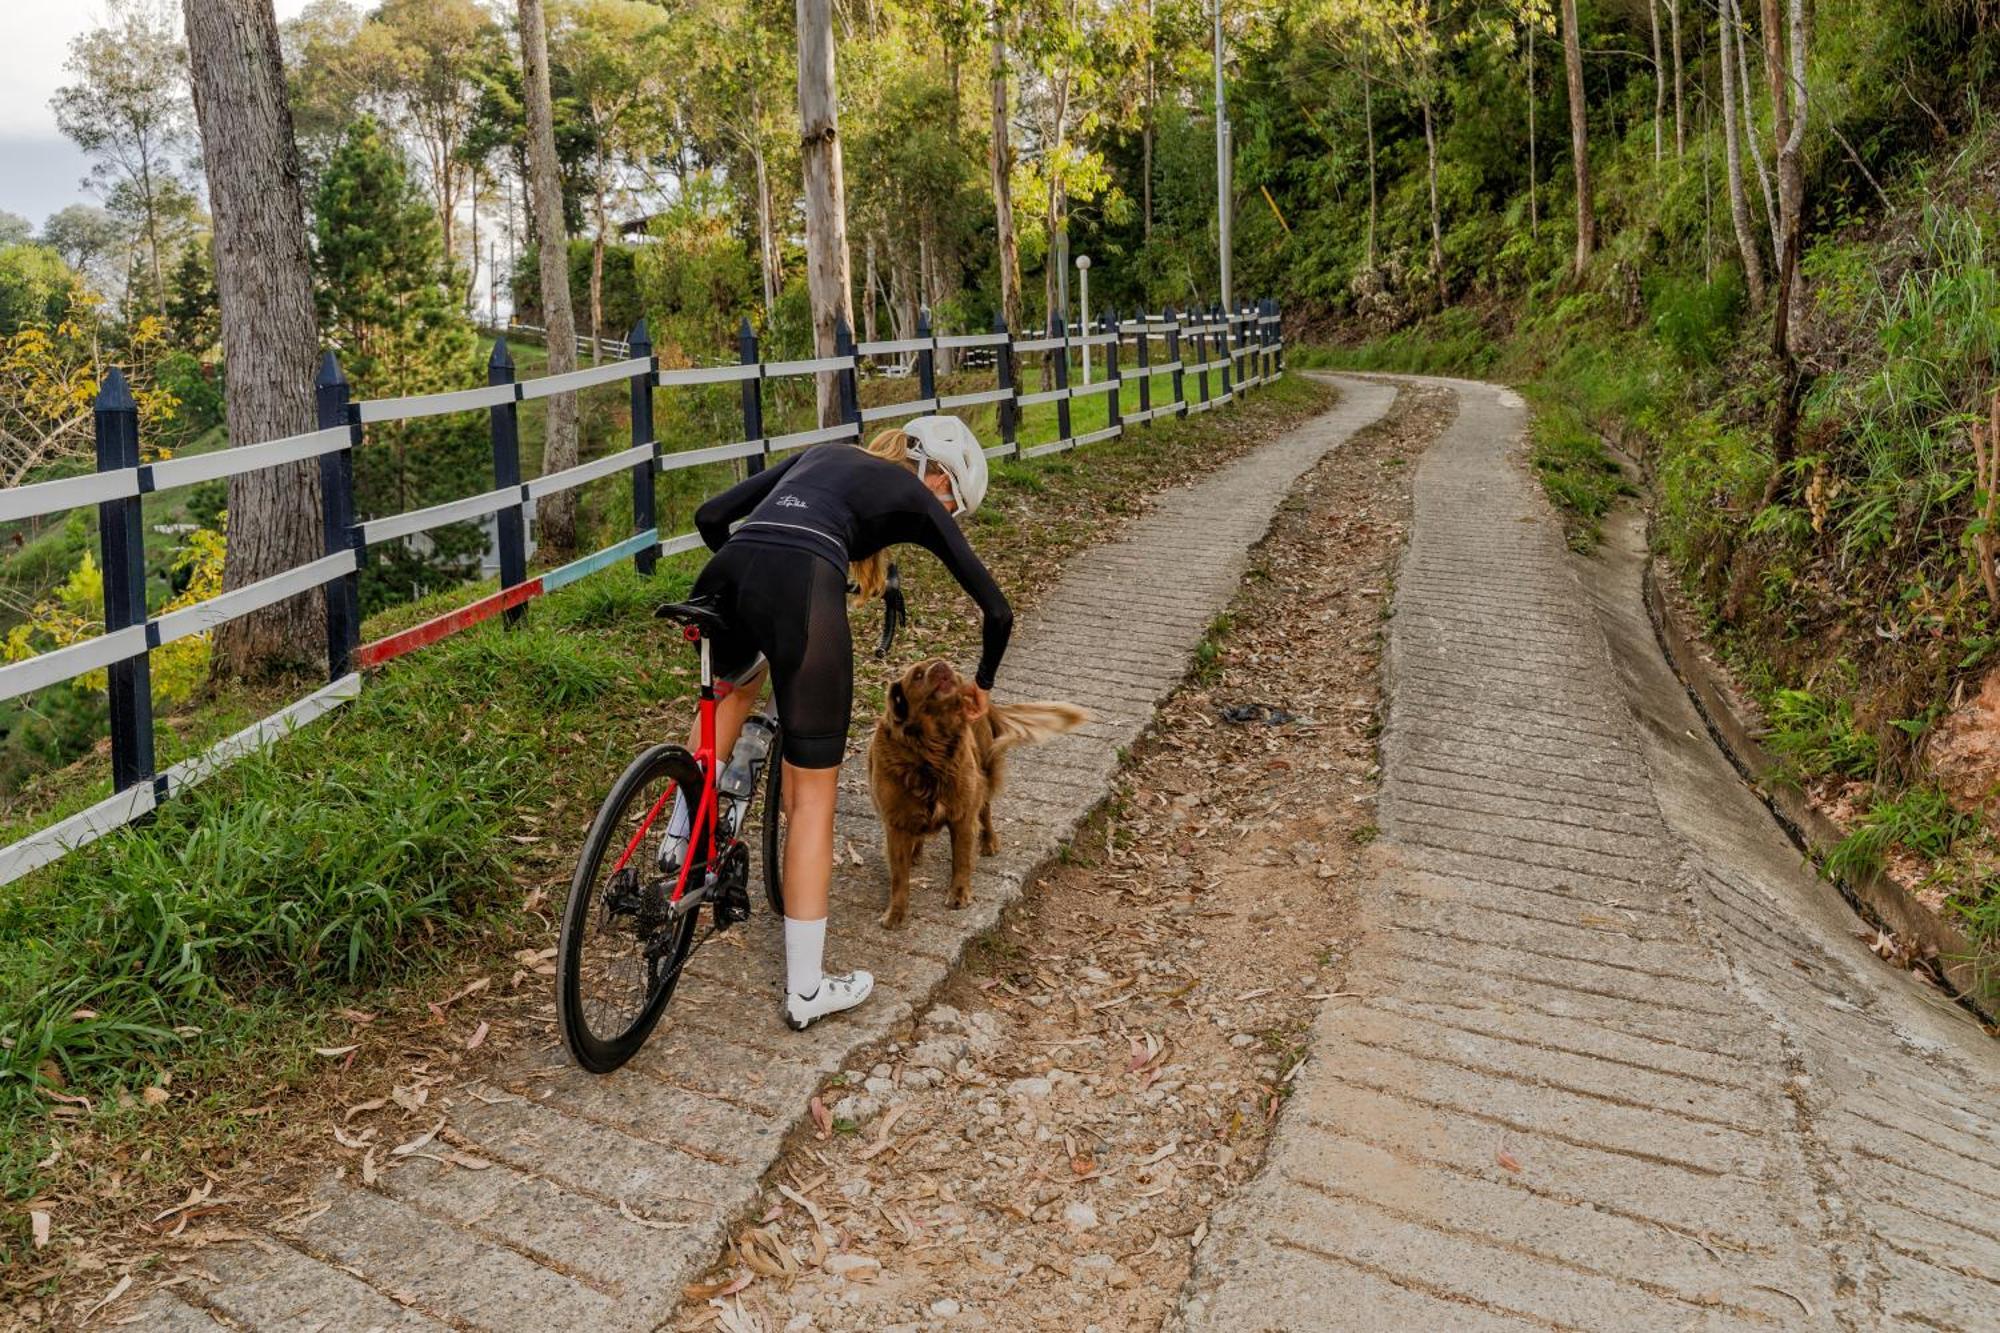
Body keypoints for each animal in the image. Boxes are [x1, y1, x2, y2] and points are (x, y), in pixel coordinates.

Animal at [868, 652, 1088, 924]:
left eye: (942, 664)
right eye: (917, 675)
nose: (941, 665)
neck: (931, 749)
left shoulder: (962, 814)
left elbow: (961, 860)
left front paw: (959, 894)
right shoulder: (895, 822)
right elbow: (900, 876)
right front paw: (896, 912)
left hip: (983, 772)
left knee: (986, 811)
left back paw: (989, 841)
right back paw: (916, 851)